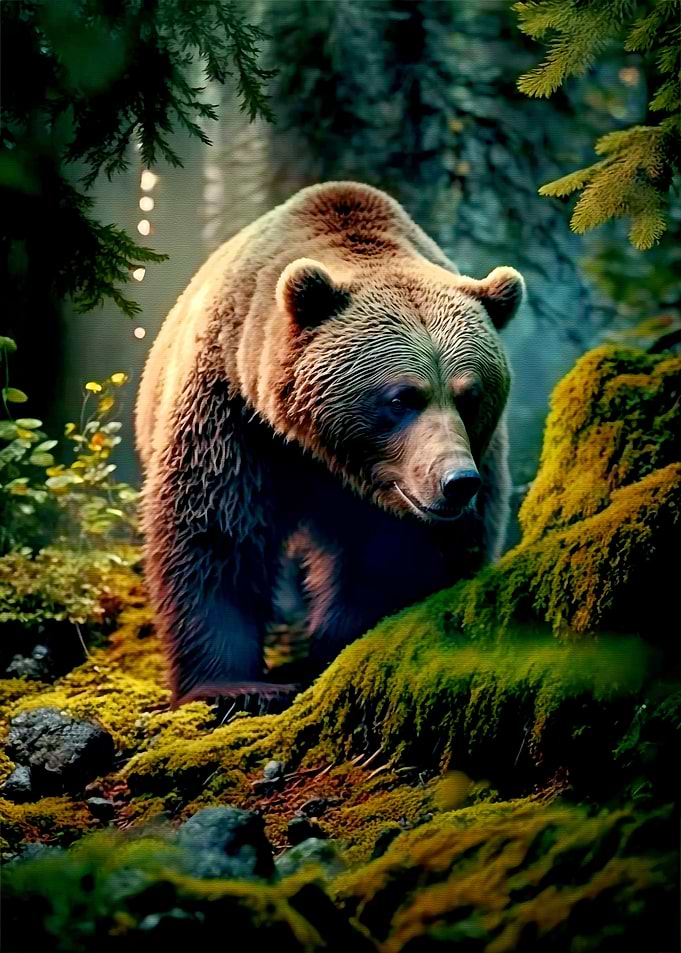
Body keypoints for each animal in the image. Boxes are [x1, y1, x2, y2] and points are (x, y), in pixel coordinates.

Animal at [135, 181, 525, 707]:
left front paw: (338, 646)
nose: (457, 481)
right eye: (402, 397)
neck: (325, 452)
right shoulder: (233, 413)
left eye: (470, 395)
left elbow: (390, 562)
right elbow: (216, 531)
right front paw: (236, 685)